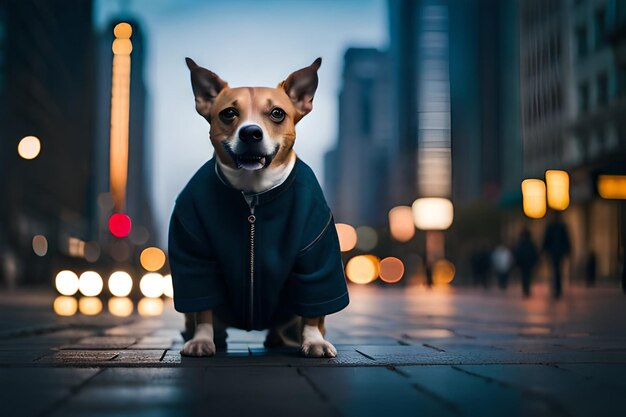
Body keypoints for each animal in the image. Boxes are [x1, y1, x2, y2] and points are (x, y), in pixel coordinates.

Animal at [168, 57, 348, 356]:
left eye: (277, 113)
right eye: (229, 113)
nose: (251, 133)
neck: (253, 193)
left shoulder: (317, 253)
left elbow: (314, 307)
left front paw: (314, 341)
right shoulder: (194, 253)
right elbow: (203, 307)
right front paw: (203, 340)